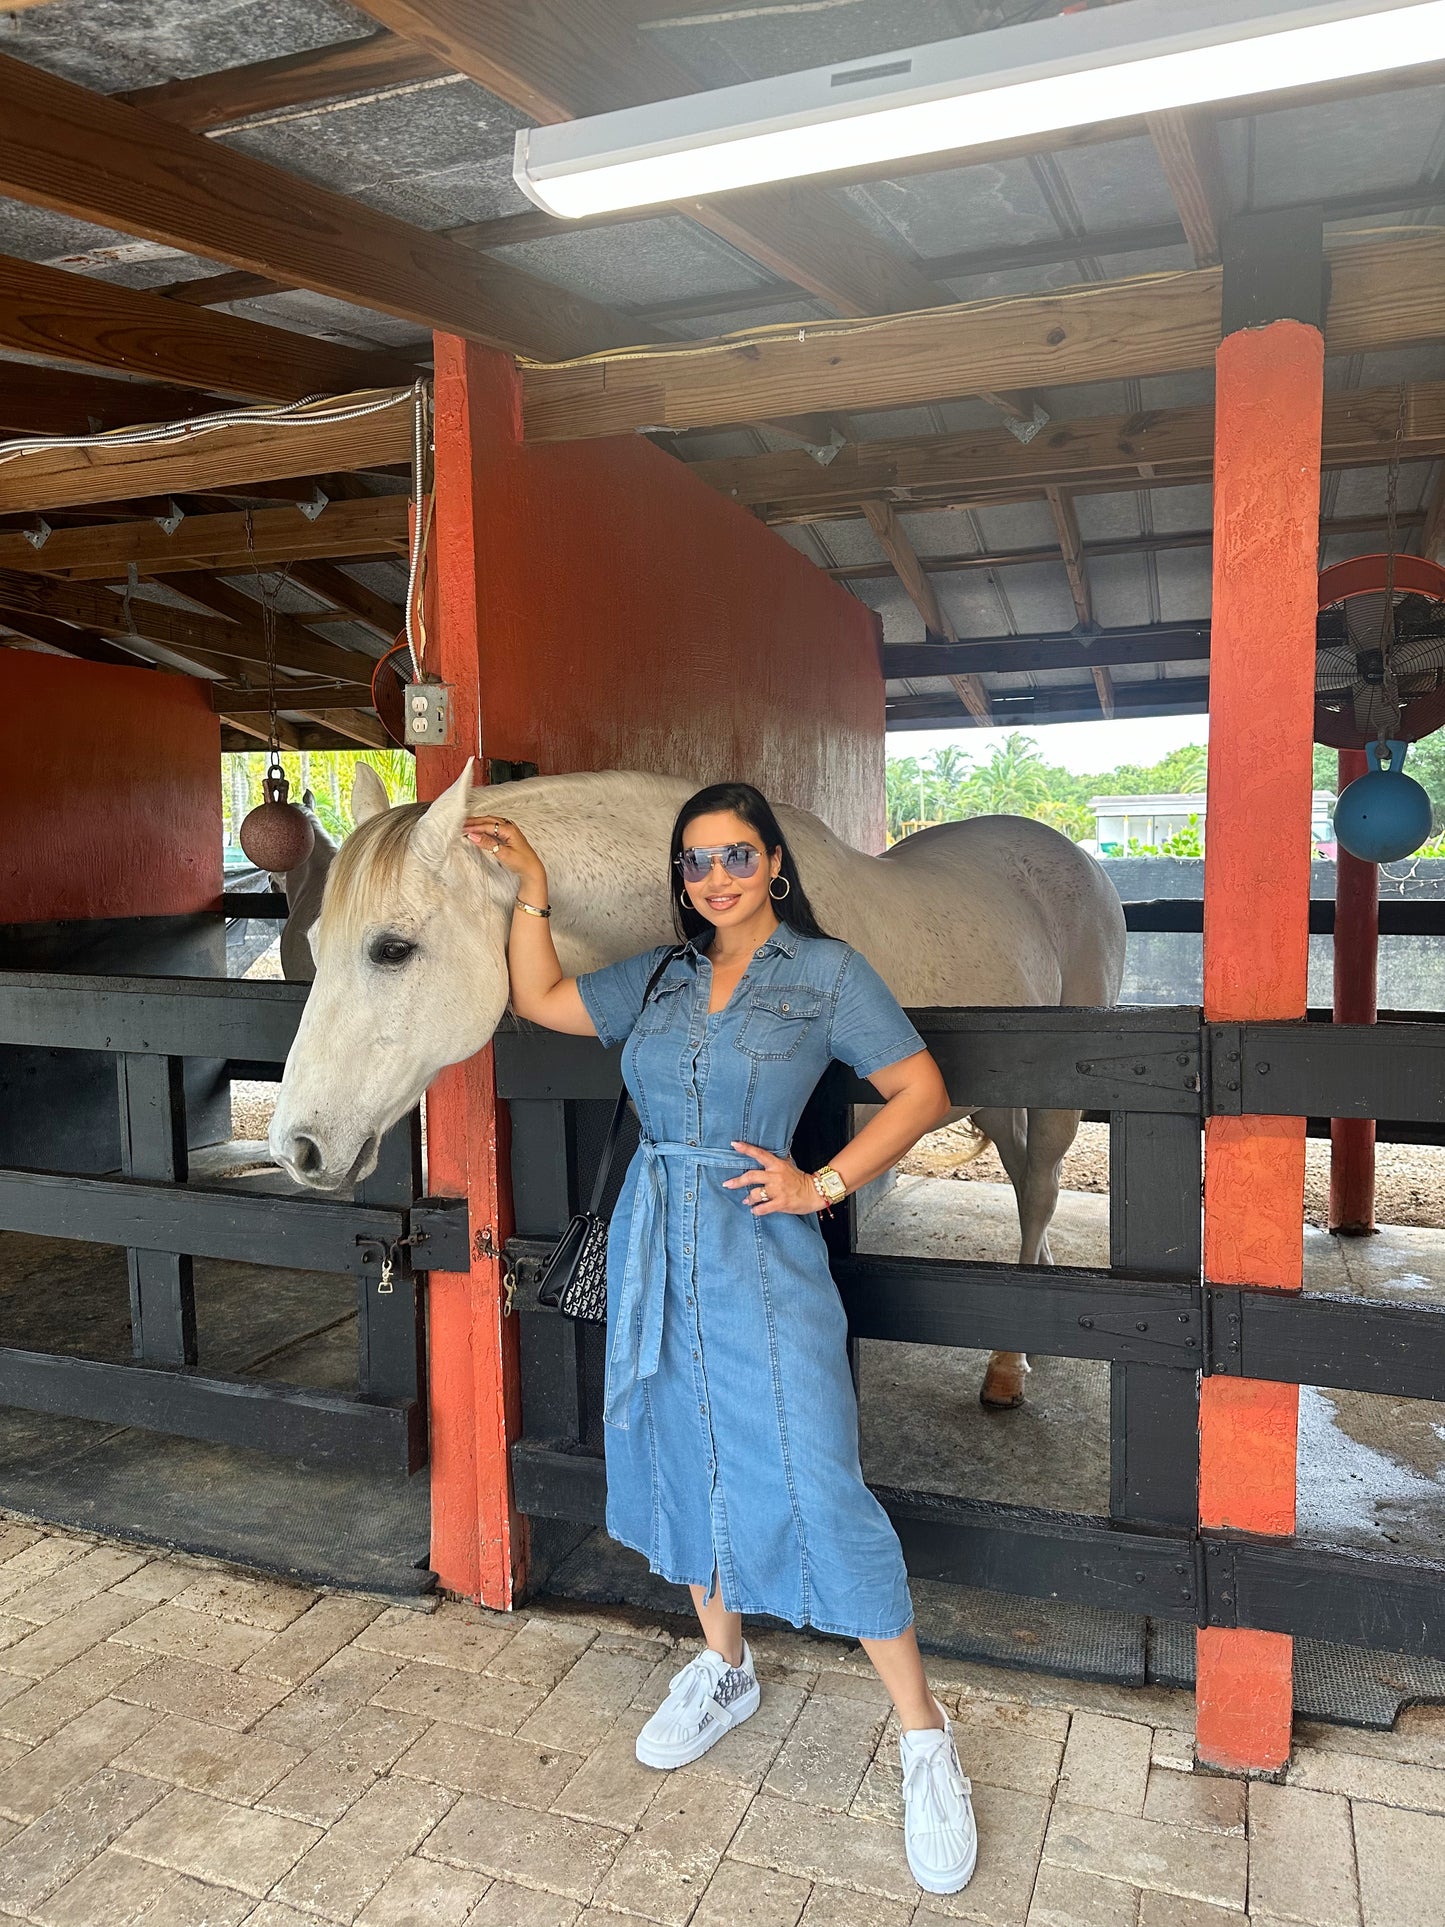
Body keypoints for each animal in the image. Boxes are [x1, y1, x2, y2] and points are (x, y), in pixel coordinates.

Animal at [273, 759, 1132, 1410]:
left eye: (392, 948)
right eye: (315, 938)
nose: (298, 1146)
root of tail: (1082, 861)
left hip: (1054, 1097)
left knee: (1040, 1185)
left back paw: (1006, 1367)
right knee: (1024, 1184)